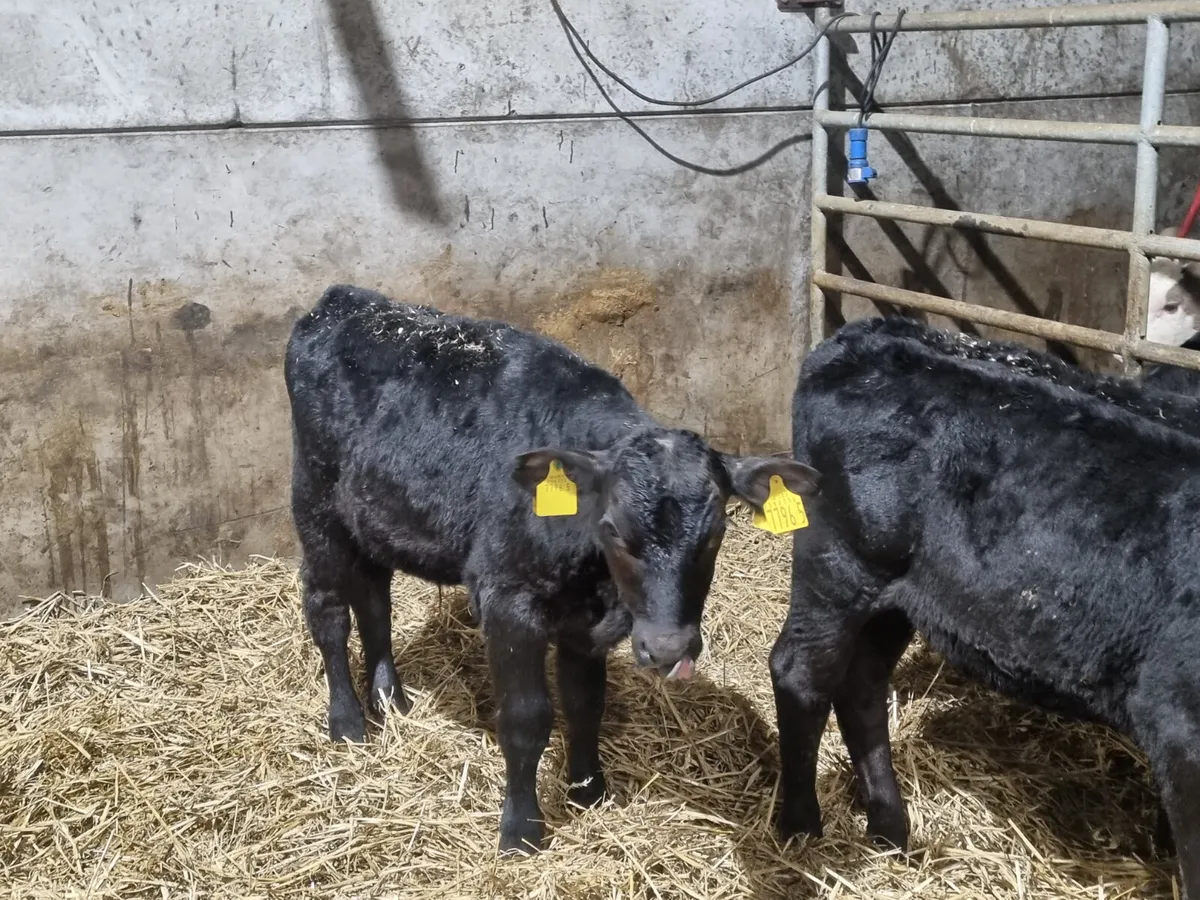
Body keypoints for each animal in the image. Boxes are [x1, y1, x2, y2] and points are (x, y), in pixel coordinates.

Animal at [284, 285, 818, 854]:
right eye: (613, 529)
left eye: (716, 531)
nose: (668, 649)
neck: (597, 579)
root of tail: (344, 300)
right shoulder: (508, 601)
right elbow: (527, 718)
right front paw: (522, 829)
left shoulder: (585, 624)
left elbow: (586, 704)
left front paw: (589, 791)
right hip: (315, 505)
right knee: (328, 610)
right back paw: (347, 722)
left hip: (373, 516)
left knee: (375, 600)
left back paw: (390, 701)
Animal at [772, 315, 1200, 899]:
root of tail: (867, 331)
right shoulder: (1180, 727)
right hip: (839, 564)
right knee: (801, 672)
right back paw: (801, 828)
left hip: (902, 593)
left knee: (862, 684)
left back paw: (890, 831)